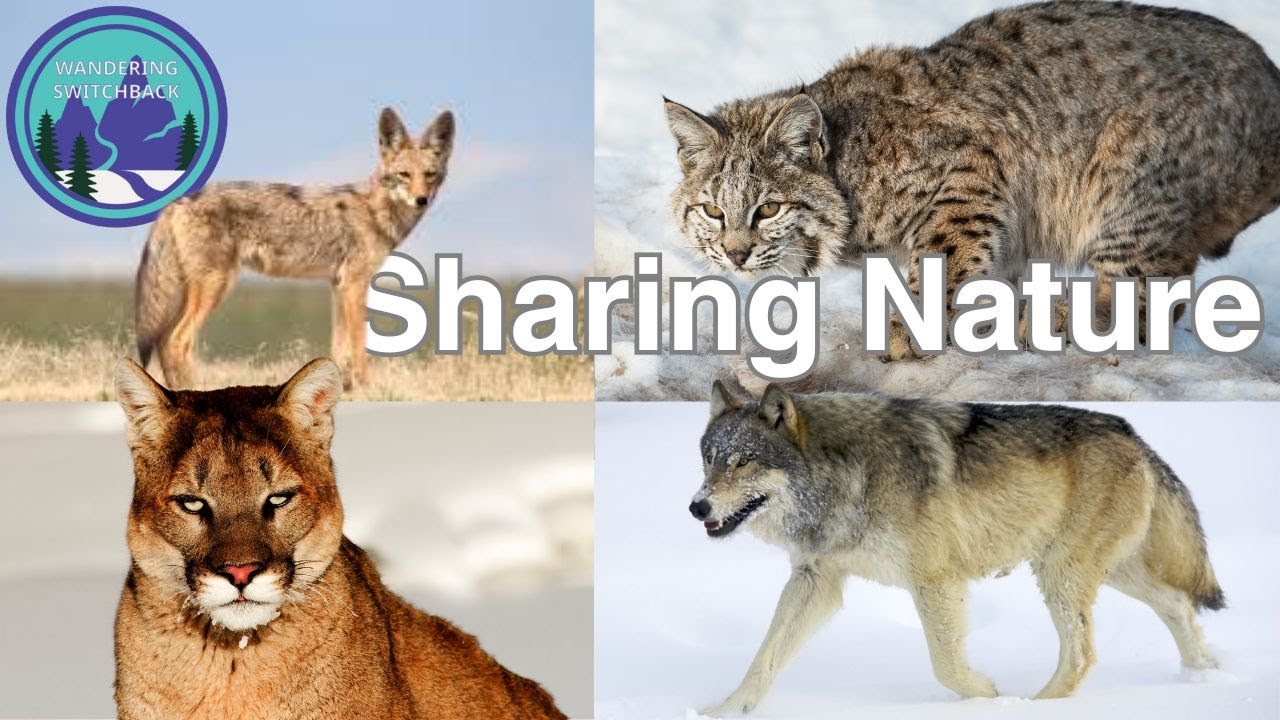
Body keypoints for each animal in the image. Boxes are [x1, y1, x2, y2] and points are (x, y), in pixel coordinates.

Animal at [135, 107, 455, 389]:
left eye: (429, 175)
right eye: (404, 175)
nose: (421, 200)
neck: (375, 211)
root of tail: (177, 201)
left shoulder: (338, 286)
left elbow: (339, 349)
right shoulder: (354, 285)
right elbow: (359, 346)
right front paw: (367, 387)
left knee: (164, 341)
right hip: (216, 286)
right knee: (177, 342)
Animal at [665, 1, 1280, 358]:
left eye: (767, 209)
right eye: (713, 211)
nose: (735, 255)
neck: (848, 168)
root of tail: (1268, 69)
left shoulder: (974, 167)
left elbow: (941, 254)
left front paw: (909, 329)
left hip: (1127, 187)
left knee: (1148, 300)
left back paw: (1055, 321)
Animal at [690, 381, 1224, 715]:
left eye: (744, 462)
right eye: (710, 459)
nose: (697, 507)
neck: (847, 477)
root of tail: (1133, 434)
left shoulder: (936, 580)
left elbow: (945, 663)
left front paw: (985, 696)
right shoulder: (815, 579)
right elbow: (763, 658)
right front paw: (724, 711)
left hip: (1063, 575)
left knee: (1082, 655)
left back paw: (1033, 708)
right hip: (1107, 571)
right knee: (1177, 605)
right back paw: (1206, 673)